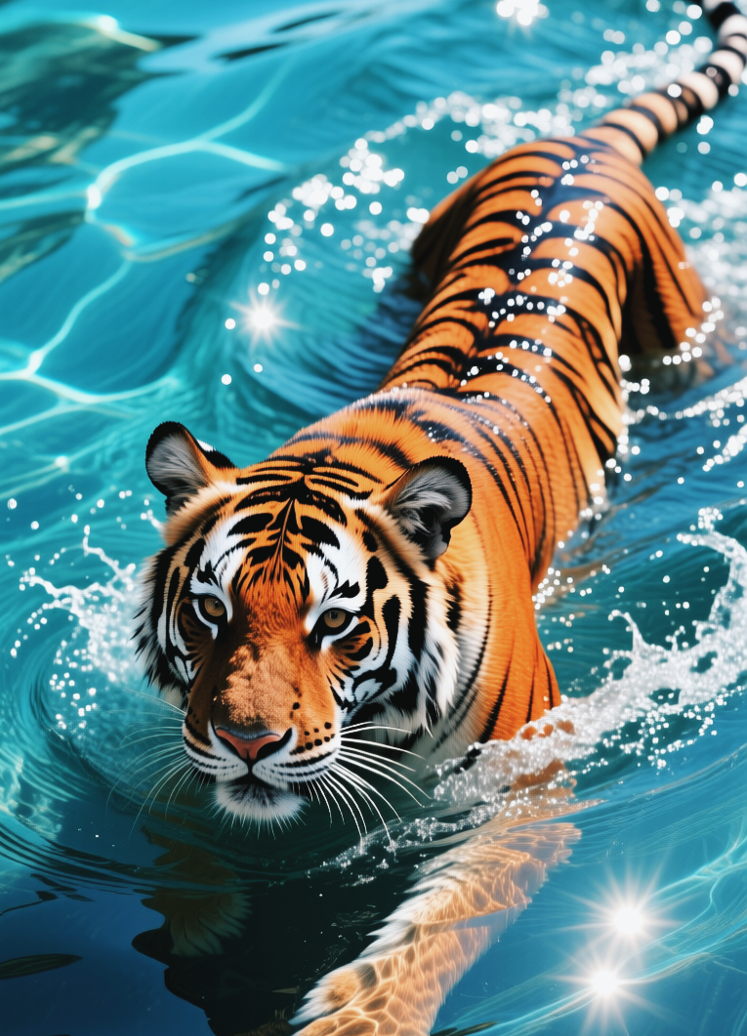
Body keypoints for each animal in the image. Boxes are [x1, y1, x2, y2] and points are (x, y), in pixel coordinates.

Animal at [136, 1, 747, 1031]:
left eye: (335, 623)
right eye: (211, 611)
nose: (247, 745)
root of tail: (584, 139)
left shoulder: (526, 785)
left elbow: (451, 919)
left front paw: (353, 1016)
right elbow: (183, 826)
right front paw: (206, 928)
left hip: (683, 335)